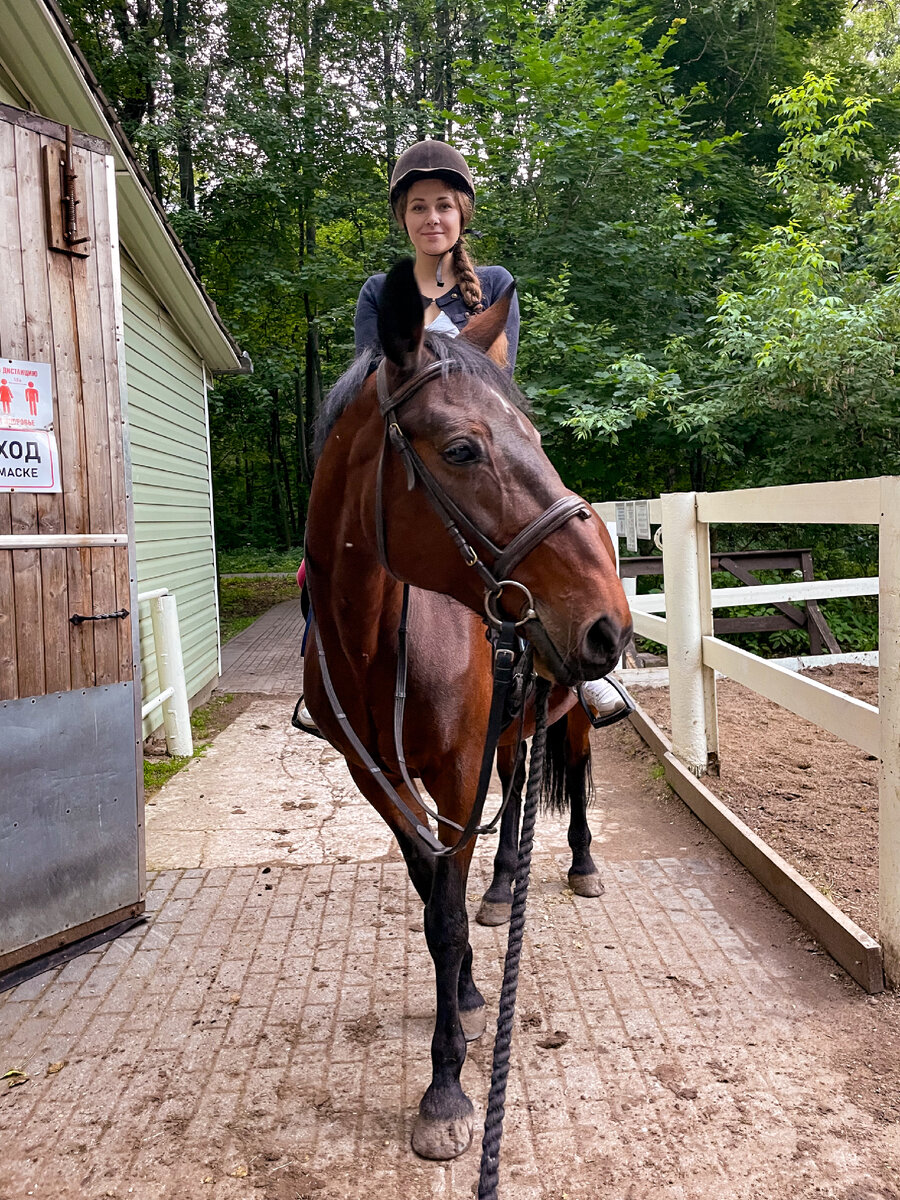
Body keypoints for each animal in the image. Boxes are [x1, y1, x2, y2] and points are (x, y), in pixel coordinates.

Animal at [303, 260, 633, 1161]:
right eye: (460, 449)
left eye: (538, 441)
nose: (608, 622)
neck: (374, 642)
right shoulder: (378, 779)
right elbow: (432, 899)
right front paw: (472, 992)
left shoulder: (454, 772)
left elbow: (445, 913)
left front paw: (447, 1084)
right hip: (512, 725)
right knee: (517, 790)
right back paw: (504, 880)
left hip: (569, 713)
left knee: (574, 779)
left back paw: (579, 866)